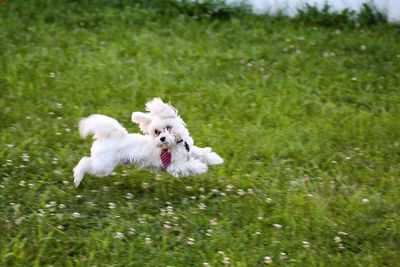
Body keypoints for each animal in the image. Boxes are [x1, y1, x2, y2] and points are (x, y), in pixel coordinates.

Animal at [72, 97, 222, 187]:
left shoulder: (188, 149)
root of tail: (111, 136)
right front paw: (201, 167)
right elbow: (189, 165)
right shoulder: (173, 166)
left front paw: (215, 159)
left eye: (168, 127)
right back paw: (77, 177)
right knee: (85, 162)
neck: (175, 145)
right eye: (156, 132)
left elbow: (200, 152)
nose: (162, 138)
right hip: (103, 165)